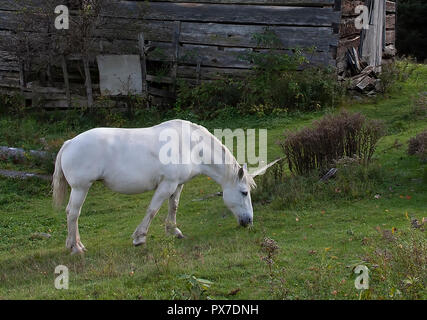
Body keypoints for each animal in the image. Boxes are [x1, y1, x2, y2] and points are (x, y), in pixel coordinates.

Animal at [52, 119, 280, 254]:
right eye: (244, 192)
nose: (248, 221)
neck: (191, 146)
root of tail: (69, 143)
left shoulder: (177, 184)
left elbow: (174, 206)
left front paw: (174, 231)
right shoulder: (166, 184)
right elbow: (152, 210)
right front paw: (139, 238)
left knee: (71, 214)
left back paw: (74, 244)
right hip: (81, 188)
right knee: (73, 213)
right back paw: (75, 248)